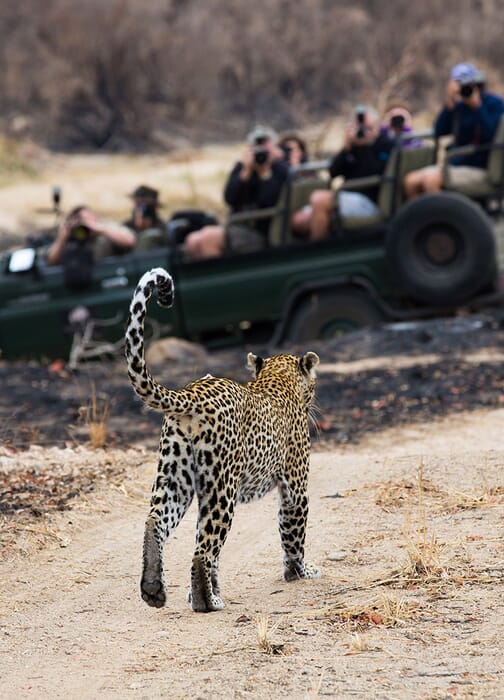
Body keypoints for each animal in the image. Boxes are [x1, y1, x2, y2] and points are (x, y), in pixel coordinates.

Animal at [125, 268, 318, 612]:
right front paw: (299, 573)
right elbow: (293, 534)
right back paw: (207, 602)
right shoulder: (295, 486)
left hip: (175, 475)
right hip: (221, 486)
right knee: (202, 551)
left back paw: (154, 589)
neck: (277, 378)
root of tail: (190, 393)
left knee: (155, 521)